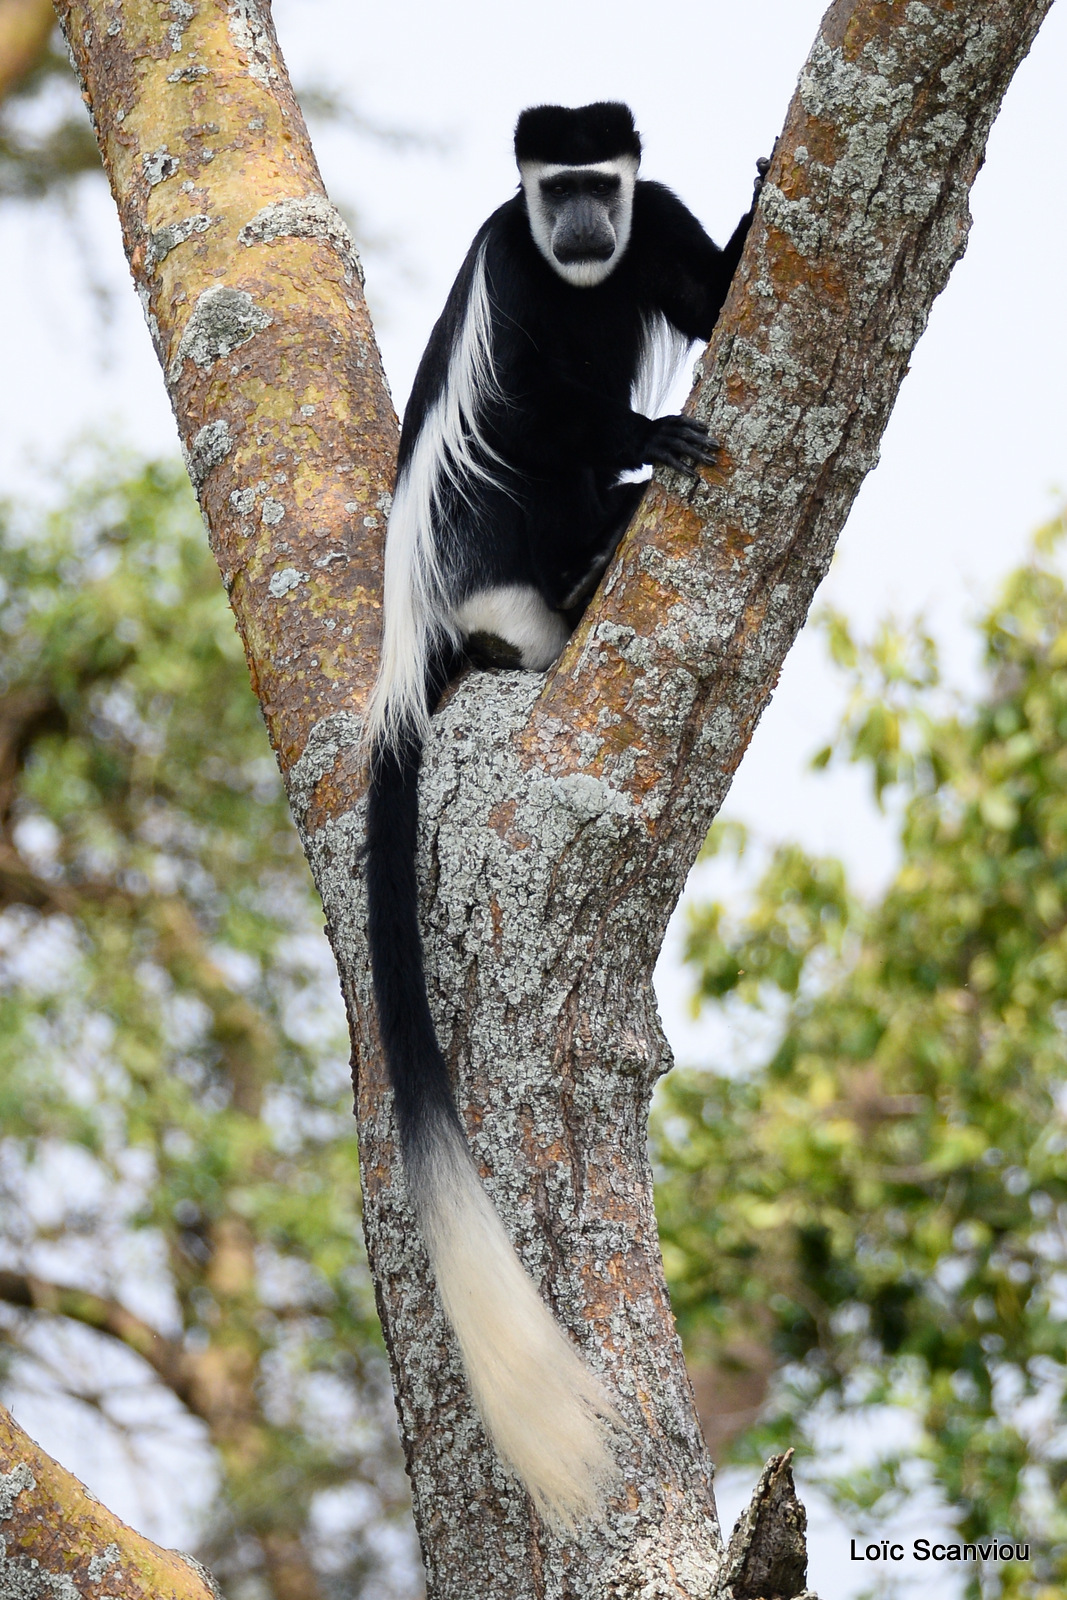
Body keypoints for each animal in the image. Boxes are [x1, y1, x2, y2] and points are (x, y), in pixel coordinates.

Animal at [363, 103, 764, 1523]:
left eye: (603, 183)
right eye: (555, 192)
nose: (585, 224)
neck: (581, 270)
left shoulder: (654, 225)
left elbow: (706, 295)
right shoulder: (516, 278)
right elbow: (540, 406)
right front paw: (654, 429)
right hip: (483, 533)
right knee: (521, 451)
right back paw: (585, 551)